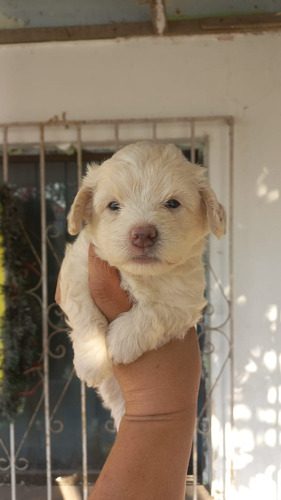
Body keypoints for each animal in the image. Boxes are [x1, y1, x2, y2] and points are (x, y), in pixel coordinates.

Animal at [59, 142, 225, 430]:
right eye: (114, 205)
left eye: (172, 203)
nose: (142, 234)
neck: (139, 276)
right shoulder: (76, 271)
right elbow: (85, 315)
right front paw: (92, 362)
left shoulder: (186, 301)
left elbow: (156, 311)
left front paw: (120, 341)